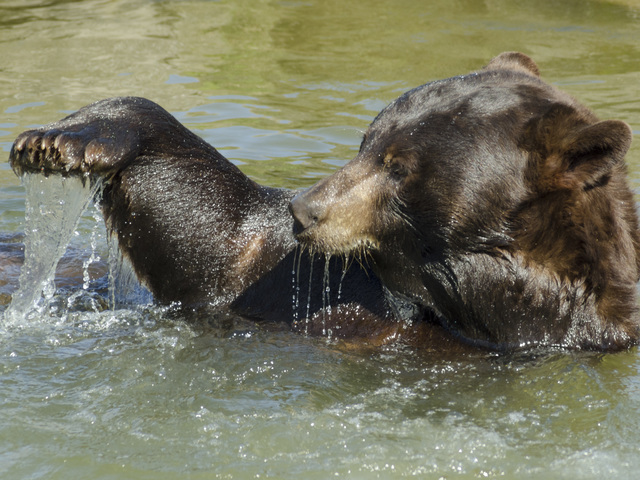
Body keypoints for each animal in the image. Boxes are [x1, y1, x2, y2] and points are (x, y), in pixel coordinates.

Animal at [10, 52, 640, 350]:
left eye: (399, 168)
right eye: (368, 141)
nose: (305, 209)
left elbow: (213, 246)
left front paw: (66, 142)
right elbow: (219, 242)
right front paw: (54, 140)